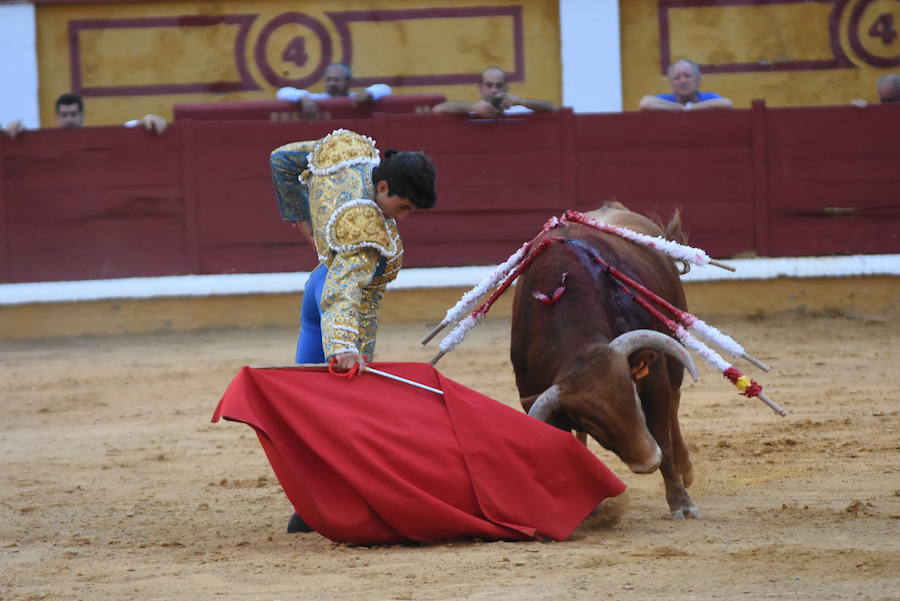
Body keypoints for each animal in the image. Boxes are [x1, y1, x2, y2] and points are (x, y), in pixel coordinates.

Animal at [510, 200, 700, 516]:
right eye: (591, 422)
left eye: (634, 398)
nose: (648, 462)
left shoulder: (654, 380)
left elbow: (663, 438)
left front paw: (682, 504)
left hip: (674, 353)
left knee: (674, 403)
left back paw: (686, 469)